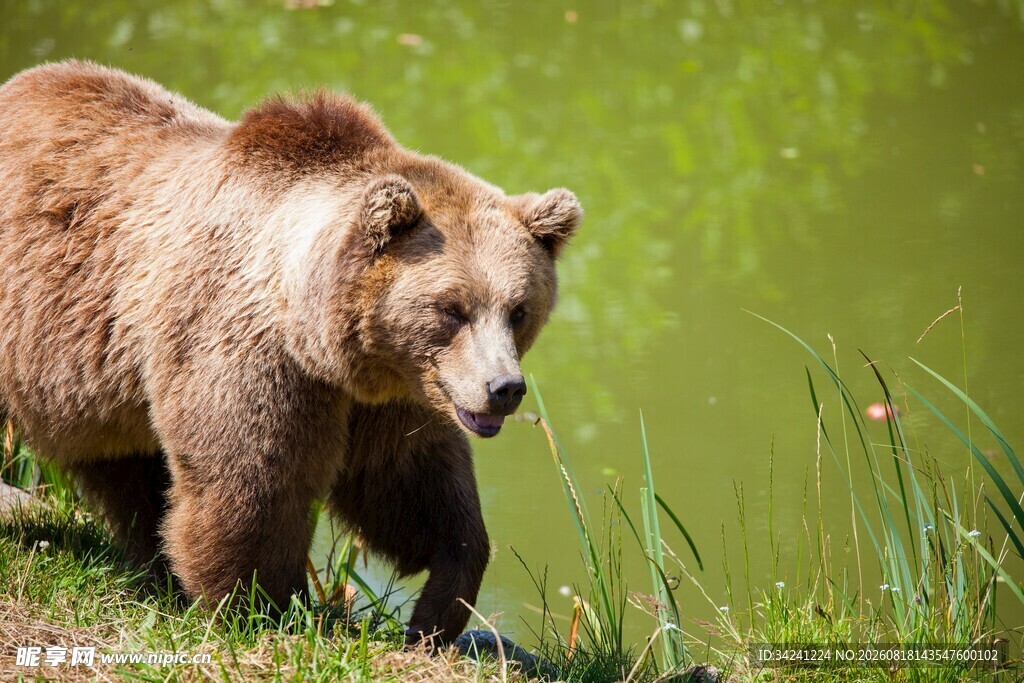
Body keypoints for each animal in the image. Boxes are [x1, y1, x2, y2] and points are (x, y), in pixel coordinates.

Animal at [0, 60, 581, 645]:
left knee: (124, 468)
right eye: (452, 309)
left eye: (518, 309)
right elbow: (252, 484)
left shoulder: (392, 393)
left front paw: (438, 608)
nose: (504, 388)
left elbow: (409, 483)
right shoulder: (247, 350)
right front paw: (265, 608)